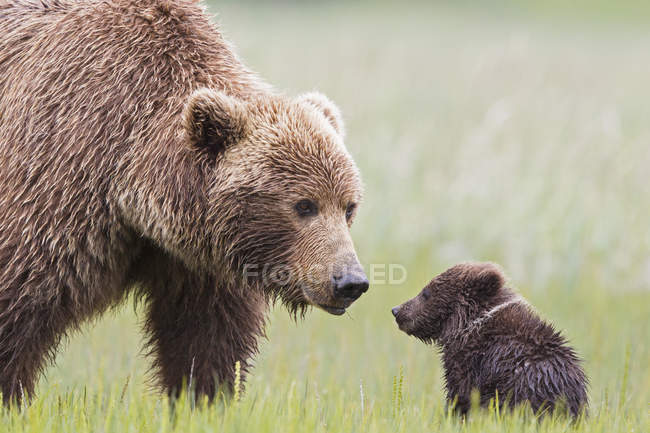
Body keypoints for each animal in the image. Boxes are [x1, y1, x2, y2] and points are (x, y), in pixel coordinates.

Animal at [0, 0, 368, 404]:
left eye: (348, 206)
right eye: (304, 205)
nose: (349, 281)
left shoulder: (201, 261)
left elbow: (206, 338)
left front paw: (204, 399)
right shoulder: (60, 180)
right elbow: (19, 300)